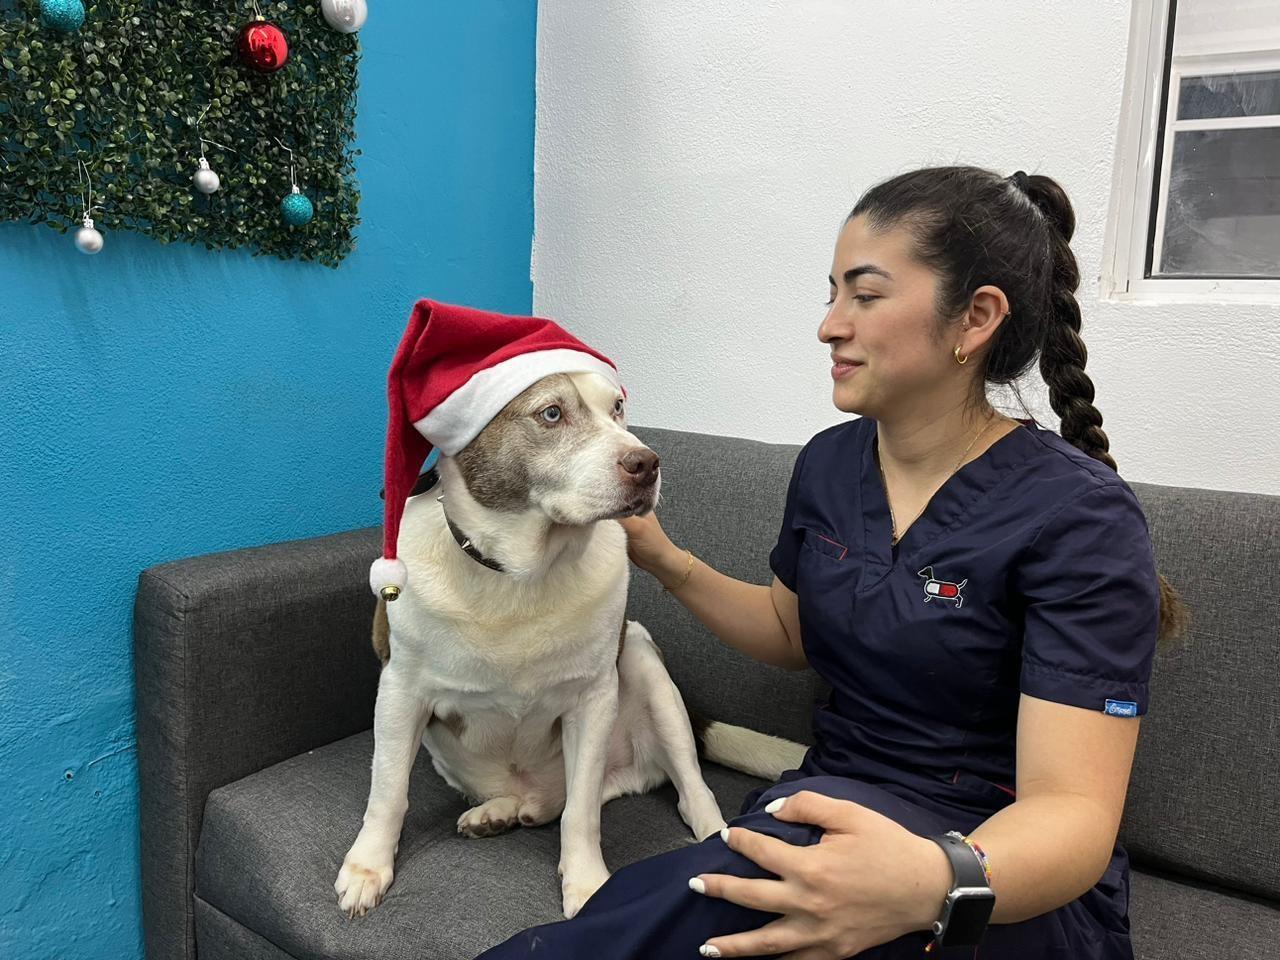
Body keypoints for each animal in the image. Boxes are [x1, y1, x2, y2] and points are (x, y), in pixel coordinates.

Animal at [335, 371, 803, 926]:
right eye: (551, 414)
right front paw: (367, 867)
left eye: (617, 407)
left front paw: (586, 883)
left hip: (645, 664)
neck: (518, 574)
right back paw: (501, 812)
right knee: (549, 802)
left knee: (684, 790)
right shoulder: (401, 690)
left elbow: (581, 814)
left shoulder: (593, 698)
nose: (647, 463)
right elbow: (388, 789)